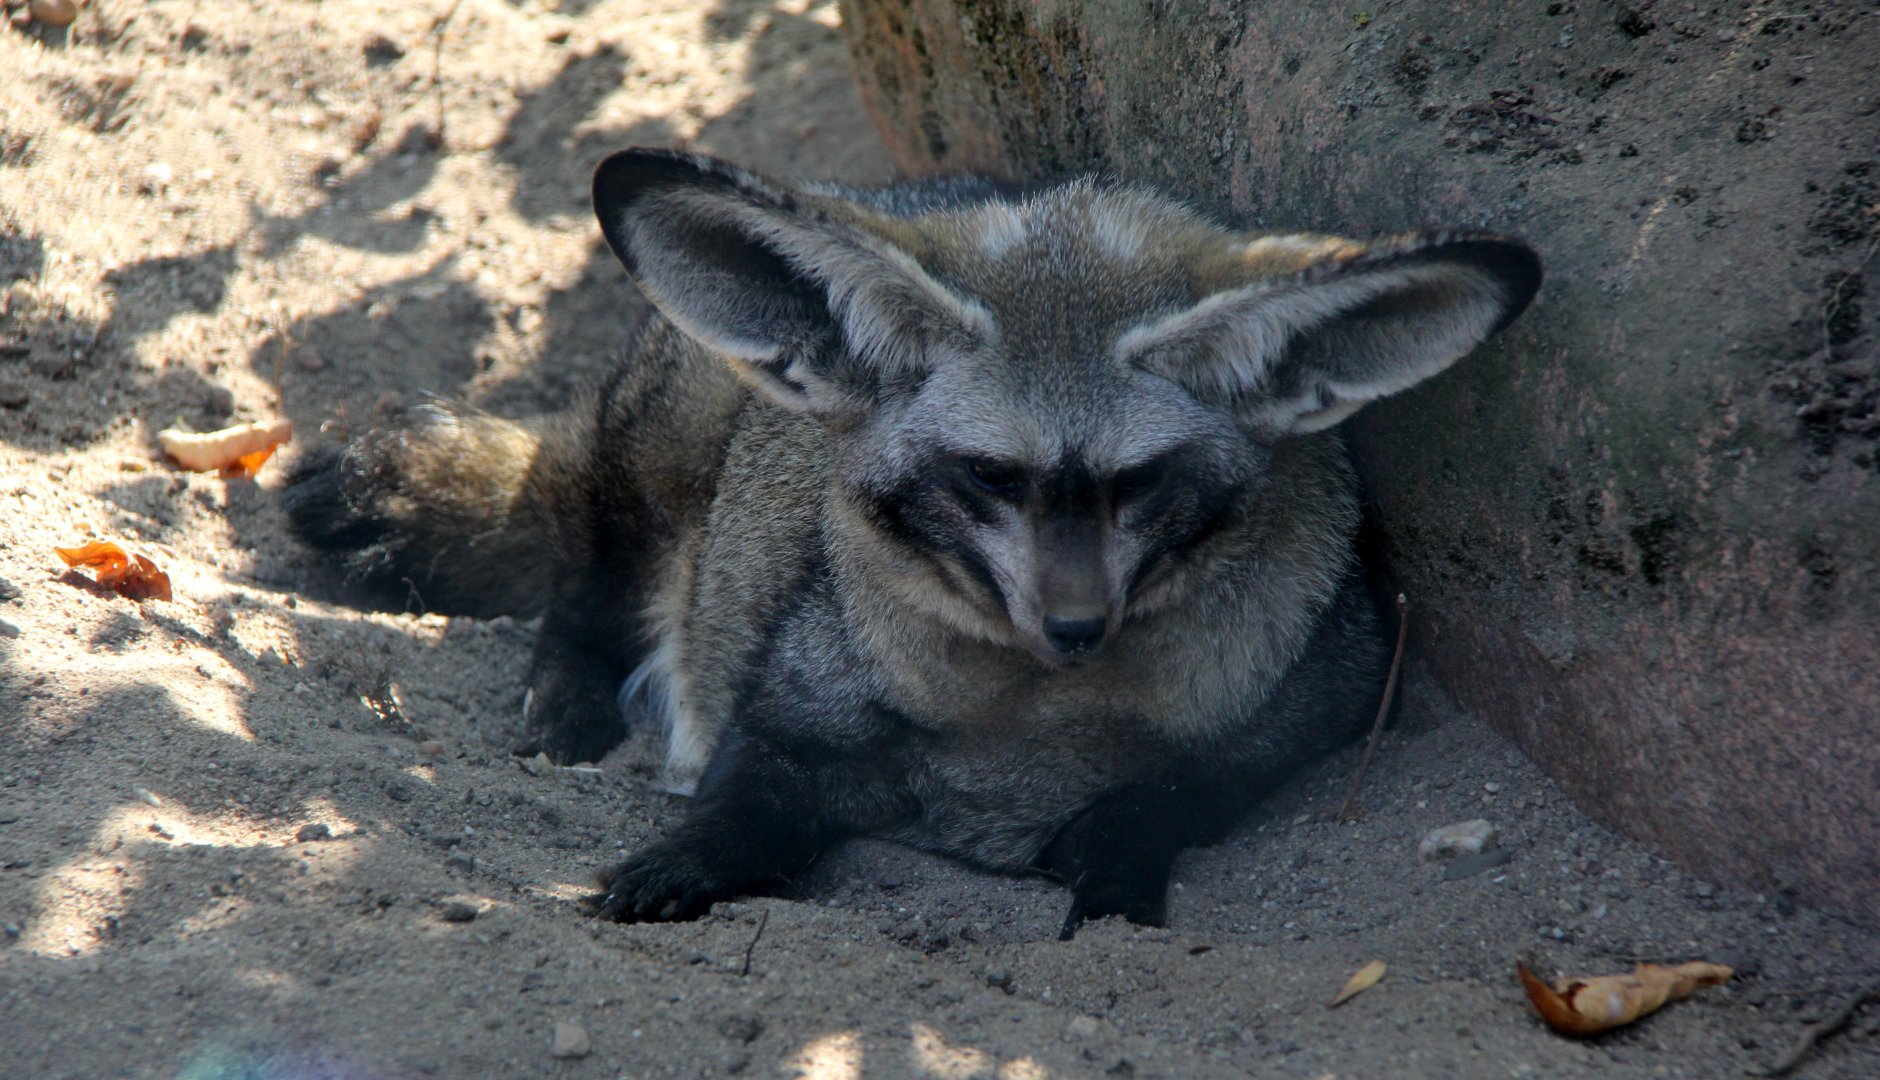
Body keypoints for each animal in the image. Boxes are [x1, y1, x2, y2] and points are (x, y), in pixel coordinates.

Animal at [285, 148, 1540, 937]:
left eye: (1136, 485)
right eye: (989, 478)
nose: (1073, 626)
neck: (1025, 729)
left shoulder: (1301, 719)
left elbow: (1156, 804)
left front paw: (1109, 880)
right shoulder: (782, 722)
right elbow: (740, 810)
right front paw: (674, 863)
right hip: (664, 455)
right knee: (584, 573)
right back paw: (566, 697)